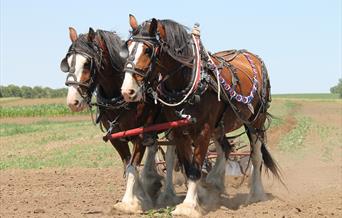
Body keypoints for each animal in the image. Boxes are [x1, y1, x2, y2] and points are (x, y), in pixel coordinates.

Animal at [59, 27, 179, 213]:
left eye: (87, 63)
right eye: (69, 61)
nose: (73, 102)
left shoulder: (139, 135)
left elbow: (132, 167)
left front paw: (129, 202)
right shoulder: (116, 137)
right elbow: (128, 165)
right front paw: (141, 195)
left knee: (171, 156)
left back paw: (168, 194)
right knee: (154, 149)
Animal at [120, 15, 284, 216]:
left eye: (148, 50)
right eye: (127, 47)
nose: (127, 91)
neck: (190, 81)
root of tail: (251, 56)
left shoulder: (204, 130)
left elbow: (196, 168)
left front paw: (189, 206)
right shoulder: (179, 131)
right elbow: (188, 166)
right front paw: (196, 198)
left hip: (255, 122)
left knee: (256, 156)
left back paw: (256, 194)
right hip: (220, 125)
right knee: (225, 149)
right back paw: (214, 183)